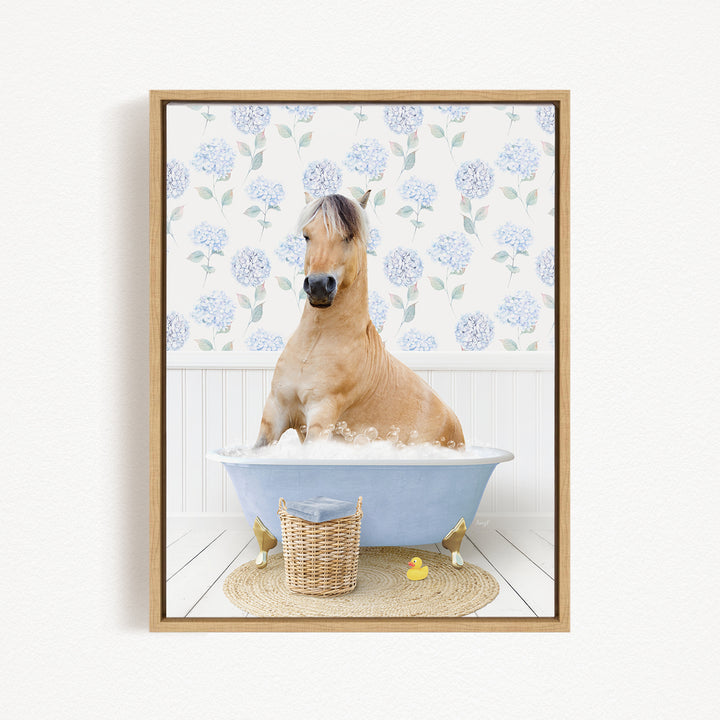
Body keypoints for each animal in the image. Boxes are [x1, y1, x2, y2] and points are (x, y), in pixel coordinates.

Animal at [254, 191, 465, 448]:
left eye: (348, 236)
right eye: (306, 235)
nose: (318, 286)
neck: (314, 345)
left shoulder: (322, 415)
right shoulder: (275, 411)